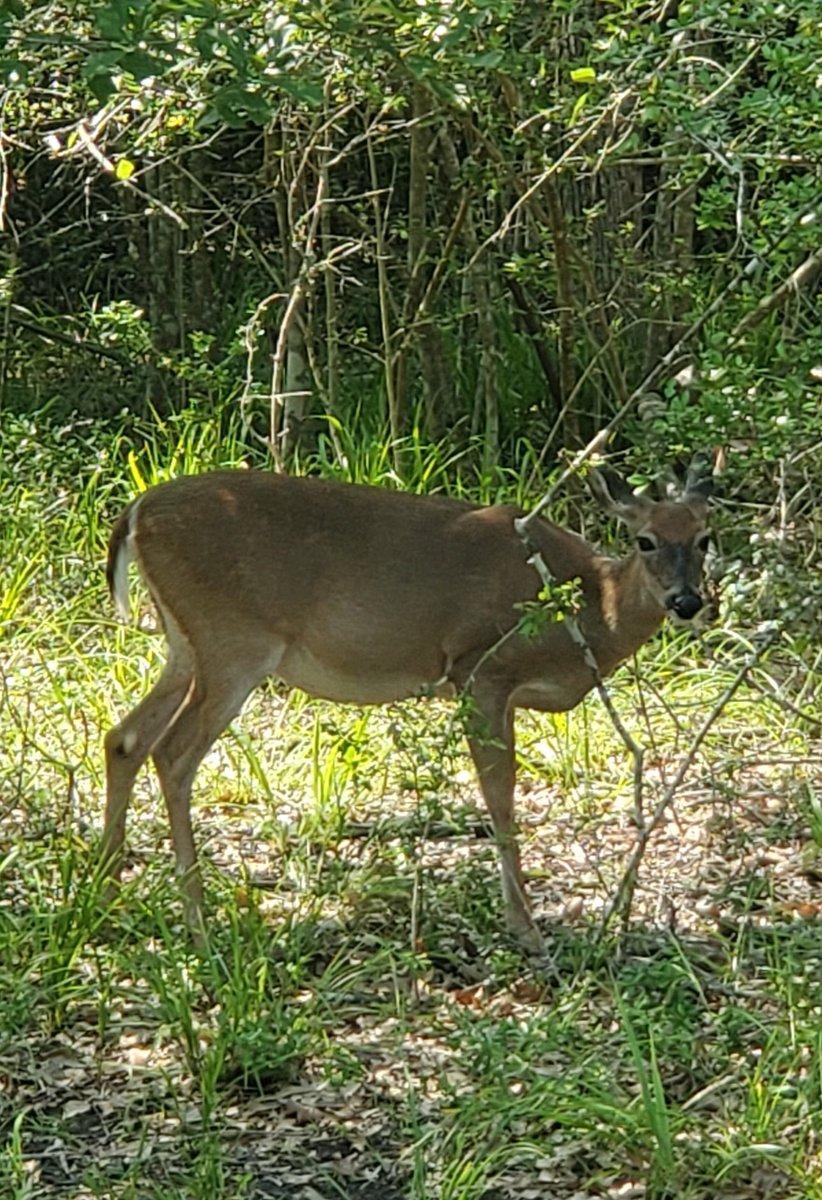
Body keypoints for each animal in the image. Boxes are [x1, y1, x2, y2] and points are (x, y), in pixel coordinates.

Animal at [100, 453, 710, 950]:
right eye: (645, 540)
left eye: (705, 538)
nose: (687, 601)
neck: (587, 608)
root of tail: (136, 512)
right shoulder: (480, 667)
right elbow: (500, 797)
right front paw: (526, 929)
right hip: (234, 639)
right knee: (173, 754)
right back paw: (197, 919)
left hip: (186, 644)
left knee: (125, 738)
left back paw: (105, 888)